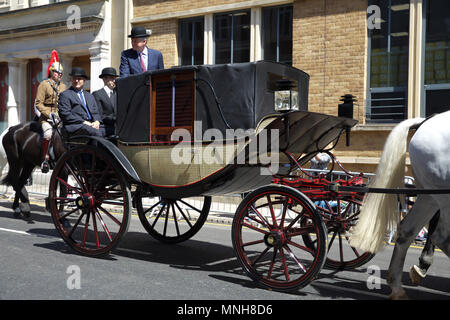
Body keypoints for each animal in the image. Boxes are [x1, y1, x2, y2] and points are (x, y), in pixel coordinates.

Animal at [352, 110, 450, 300]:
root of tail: (427, 121)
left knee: (407, 231)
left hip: (429, 195)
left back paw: (397, 287)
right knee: (442, 237)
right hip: (443, 196)